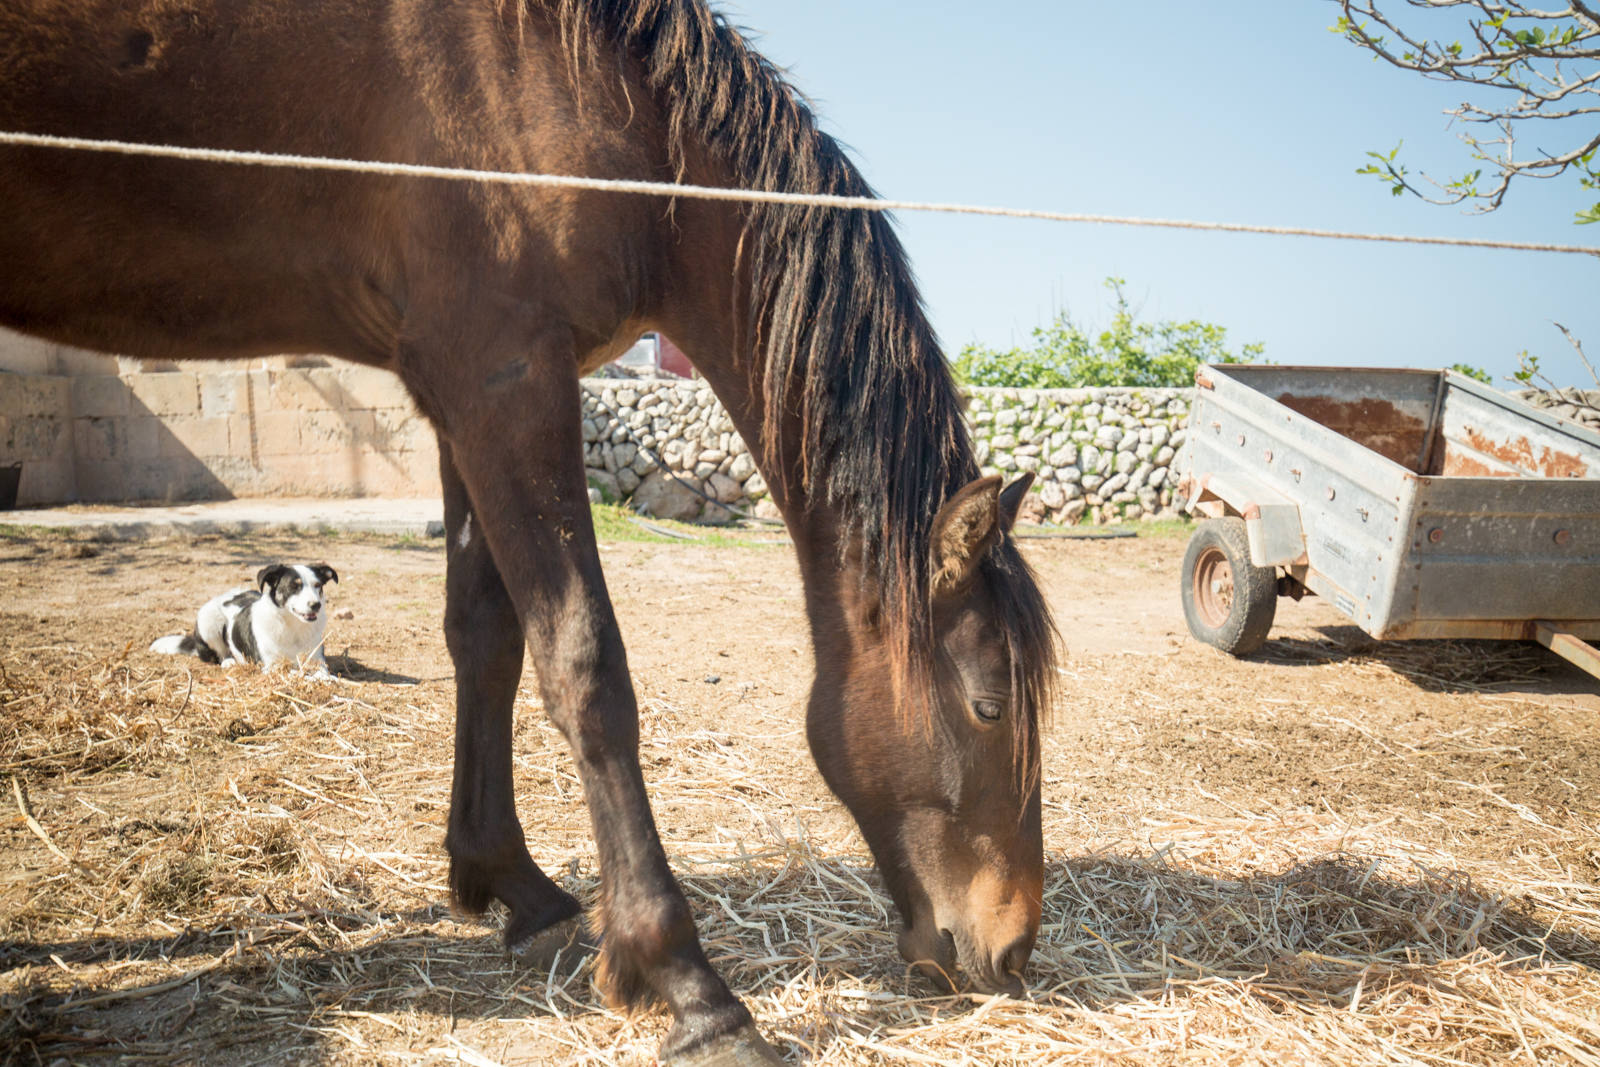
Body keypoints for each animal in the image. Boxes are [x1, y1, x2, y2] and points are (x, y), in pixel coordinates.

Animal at [151, 559, 339, 675]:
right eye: (294, 586)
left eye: (317, 585)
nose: (316, 605)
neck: (294, 628)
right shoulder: (270, 666)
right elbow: (295, 673)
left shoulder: (318, 661)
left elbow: (323, 674)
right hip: (207, 621)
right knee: (219, 655)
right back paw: (228, 662)